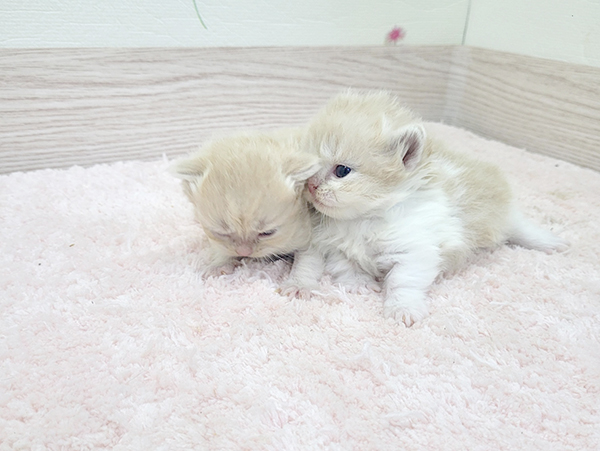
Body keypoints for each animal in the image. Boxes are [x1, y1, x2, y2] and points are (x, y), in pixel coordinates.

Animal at [171, 128, 319, 276]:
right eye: (221, 233)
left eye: (268, 233)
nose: (244, 252)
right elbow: (221, 248)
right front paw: (219, 265)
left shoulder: (308, 236)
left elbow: (306, 263)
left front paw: (298, 282)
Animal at [283, 90, 568, 326]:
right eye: (309, 167)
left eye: (342, 171)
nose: (311, 186)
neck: (363, 218)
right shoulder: (336, 247)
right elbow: (347, 267)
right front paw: (360, 285)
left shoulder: (415, 250)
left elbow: (403, 281)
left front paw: (403, 310)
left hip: (497, 215)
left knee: (517, 225)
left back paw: (550, 243)